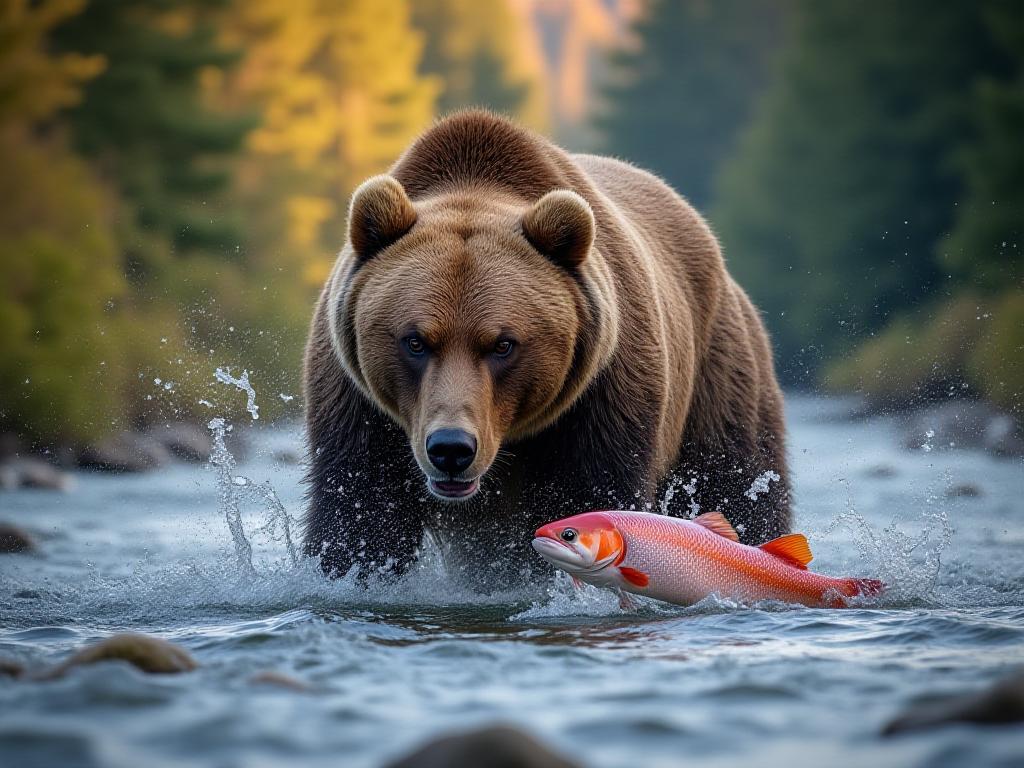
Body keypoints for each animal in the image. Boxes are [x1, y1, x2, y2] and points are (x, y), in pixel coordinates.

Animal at [303, 111, 789, 588]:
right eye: (415, 341)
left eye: (503, 344)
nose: (451, 448)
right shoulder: (360, 409)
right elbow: (359, 514)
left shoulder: (600, 401)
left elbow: (591, 494)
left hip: (717, 376)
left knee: (740, 484)